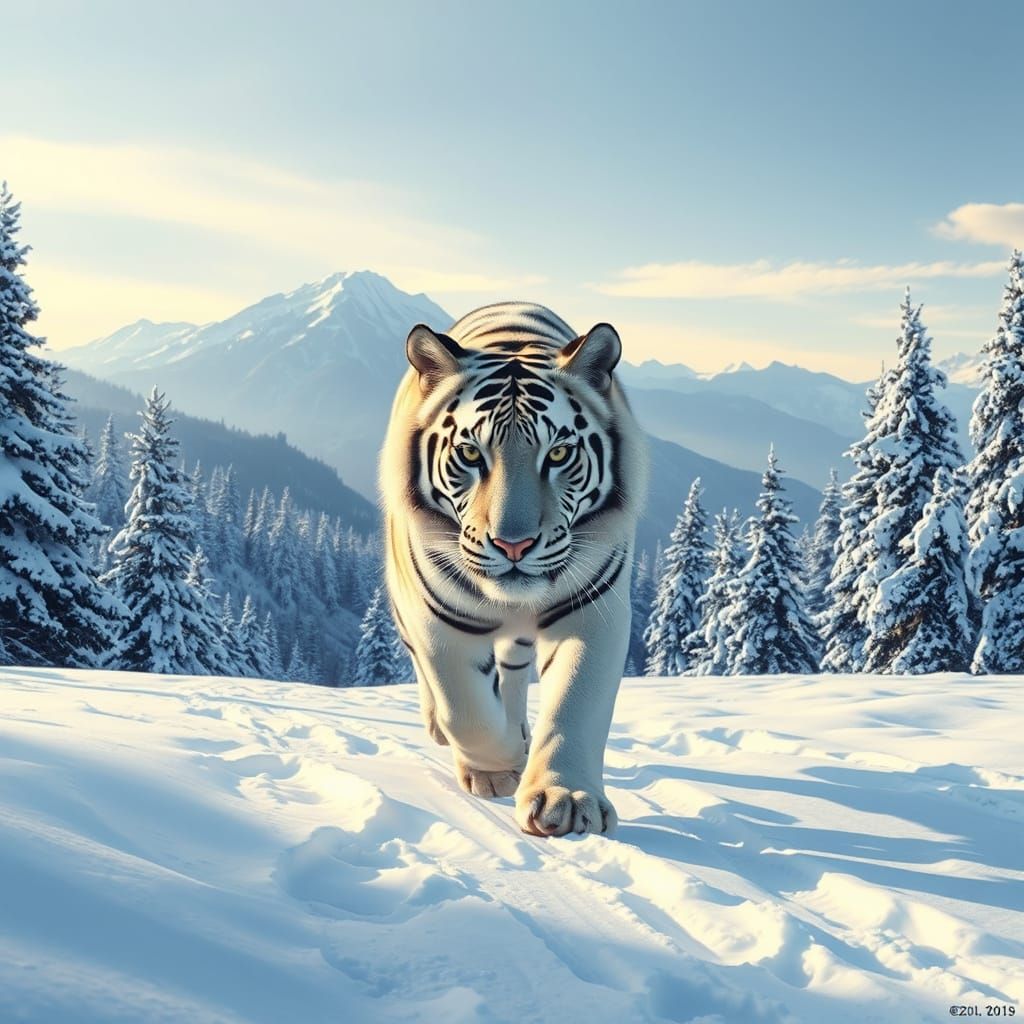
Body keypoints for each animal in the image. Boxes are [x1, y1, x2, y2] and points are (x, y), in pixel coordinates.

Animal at [380, 302, 647, 837]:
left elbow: (575, 704)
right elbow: (466, 710)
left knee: (515, 677)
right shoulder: (439, 620)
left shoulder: (594, 611)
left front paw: (567, 799)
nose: (514, 544)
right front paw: (497, 770)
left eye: (559, 453)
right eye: (469, 453)